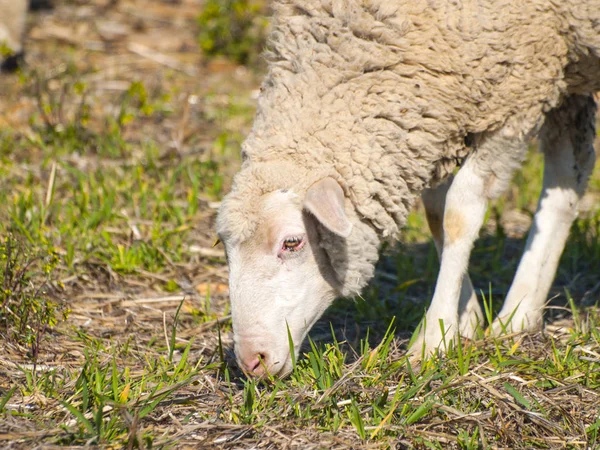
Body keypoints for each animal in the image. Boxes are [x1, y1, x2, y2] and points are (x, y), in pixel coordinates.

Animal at [217, 0, 600, 376]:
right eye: (225, 248)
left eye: (292, 242)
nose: (251, 361)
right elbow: (435, 212)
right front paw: (465, 319)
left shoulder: (518, 95)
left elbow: (459, 213)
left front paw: (434, 337)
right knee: (568, 182)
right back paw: (521, 313)